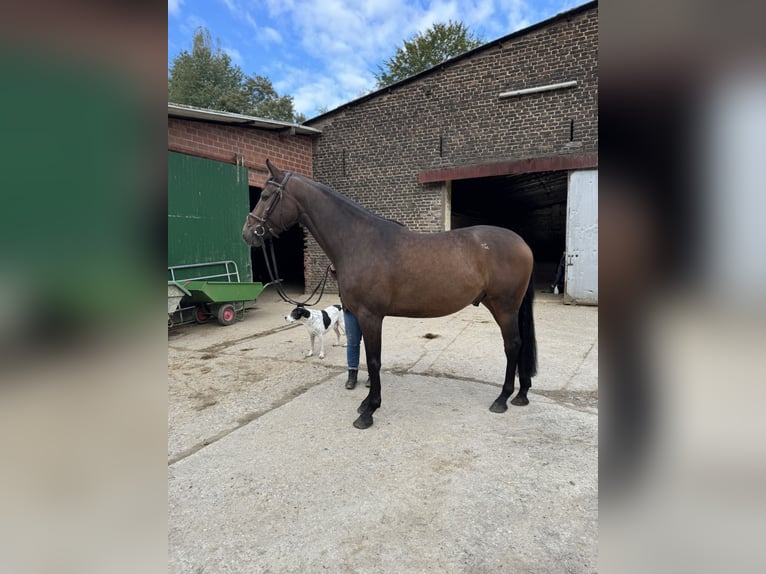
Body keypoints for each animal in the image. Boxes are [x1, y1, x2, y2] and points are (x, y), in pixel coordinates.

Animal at [243, 160, 536, 430]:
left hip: (504, 307)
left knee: (513, 345)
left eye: (265, 196)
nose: (247, 233)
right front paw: (366, 404)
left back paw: (502, 399)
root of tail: (522, 243)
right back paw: (521, 395)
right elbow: (369, 358)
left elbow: (374, 361)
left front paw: (368, 412)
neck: (358, 241)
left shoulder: (371, 316)